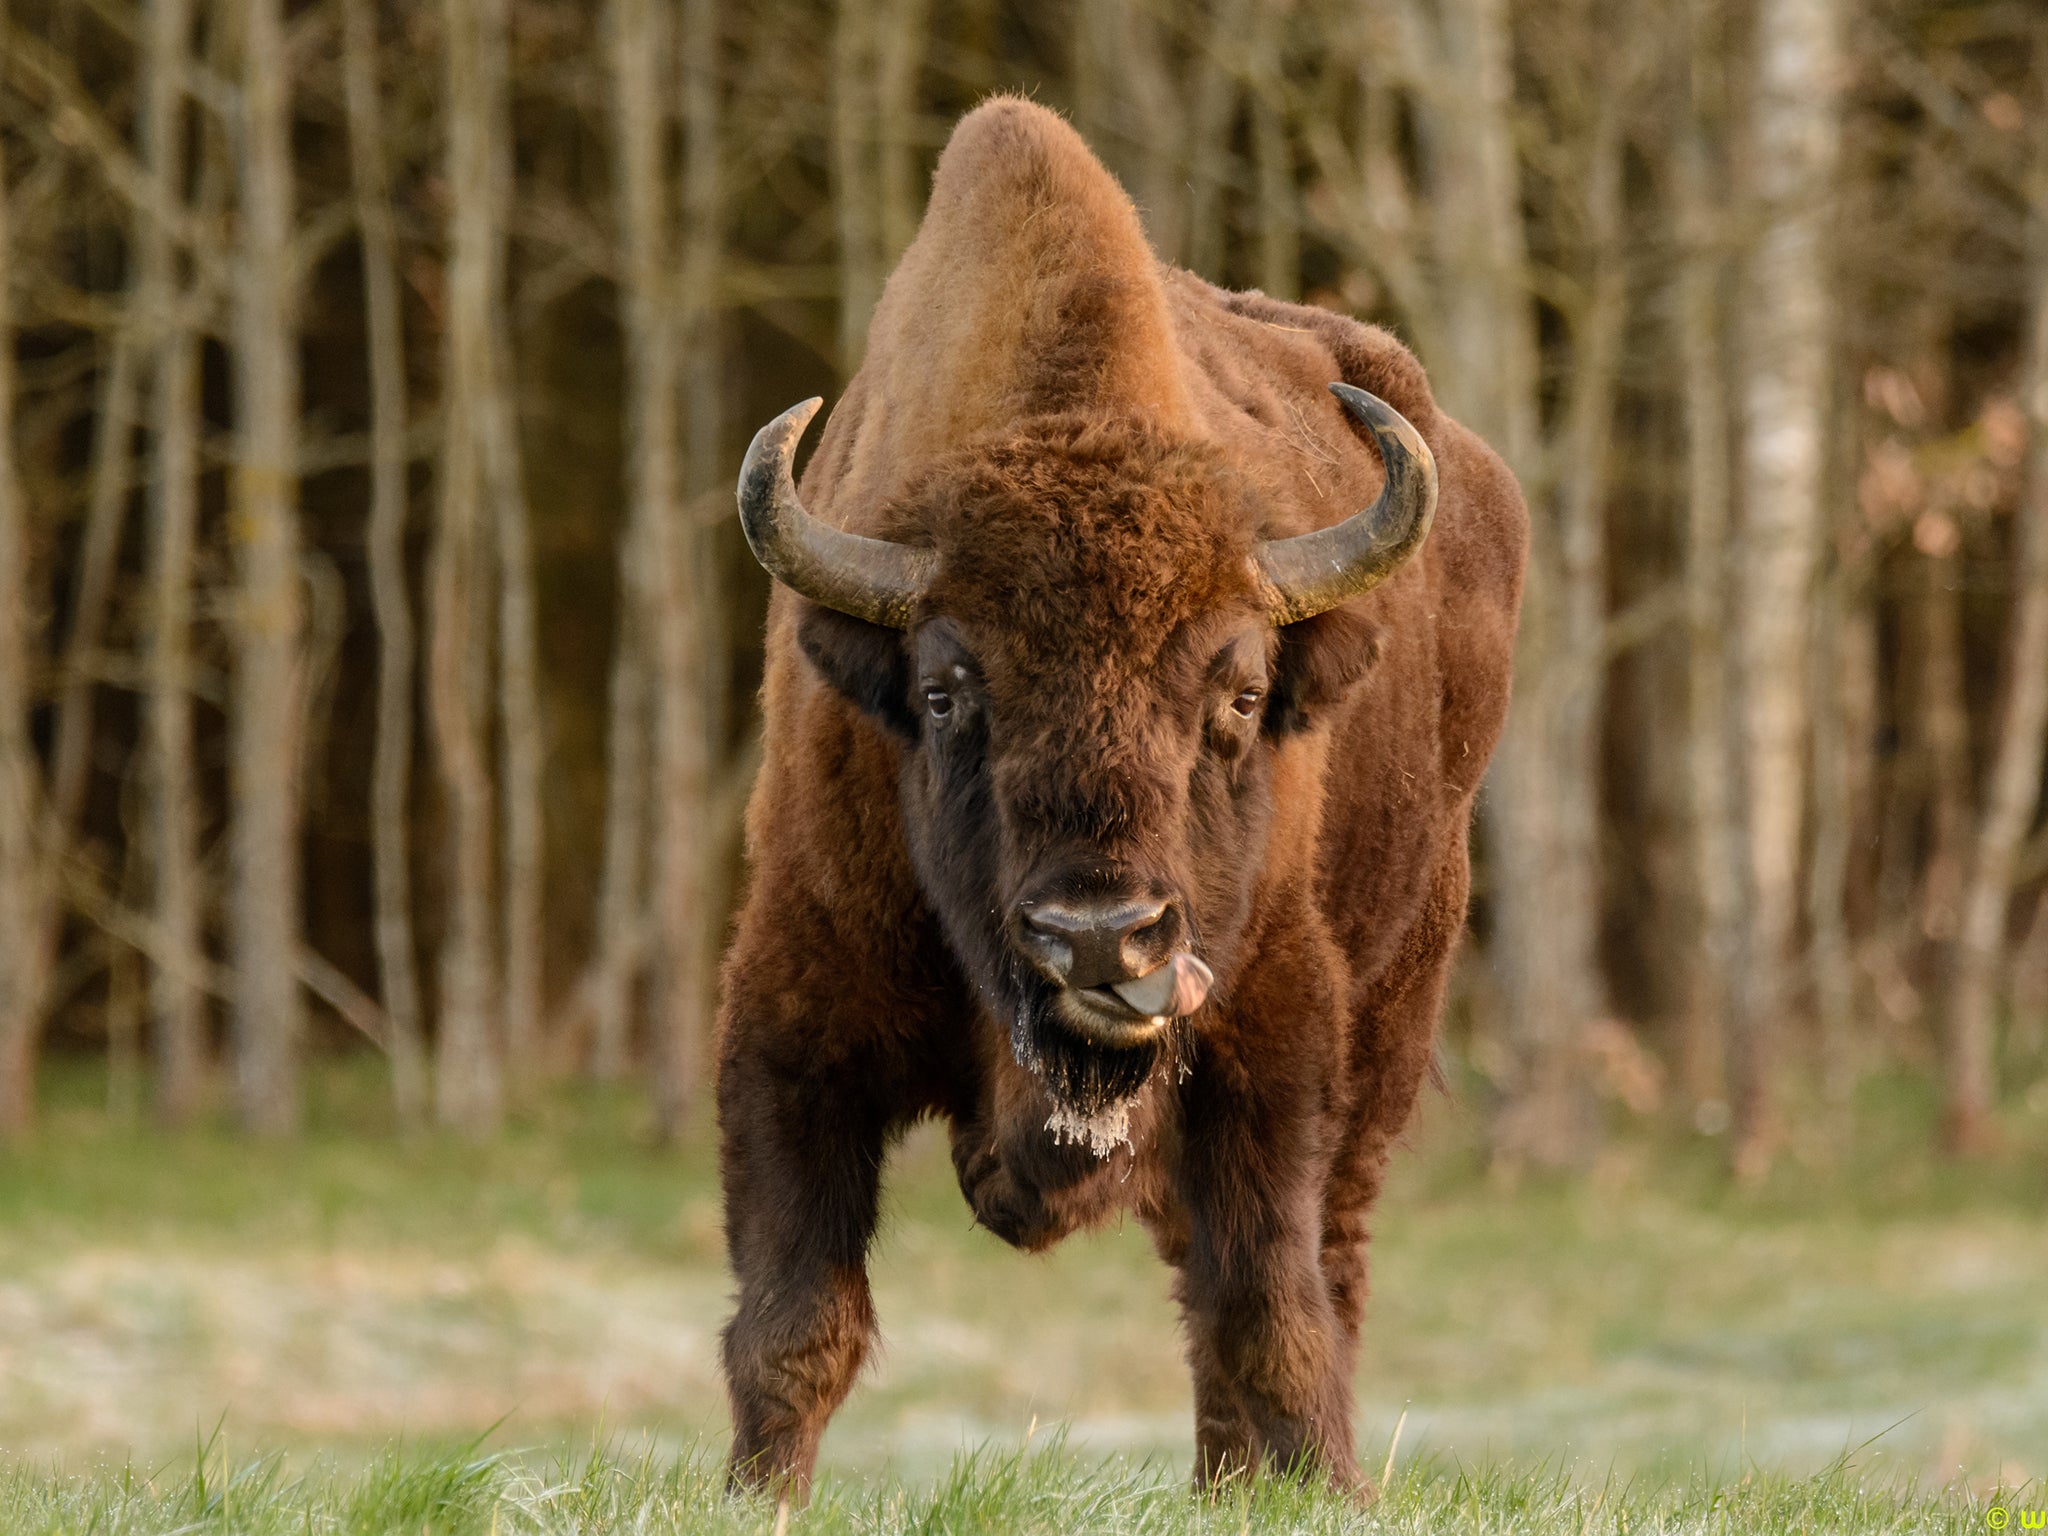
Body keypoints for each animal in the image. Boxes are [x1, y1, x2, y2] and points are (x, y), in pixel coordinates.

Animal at [716, 99, 1523, 1507]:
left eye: (1240, 693)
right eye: (943, 691)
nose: (1100, 939)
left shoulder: (1272, 1039)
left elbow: (1270, 1310)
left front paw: (1325, 1489)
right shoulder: (792, 1015)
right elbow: (793, 1319)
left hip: (1395, 1004)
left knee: (1316, 1262)